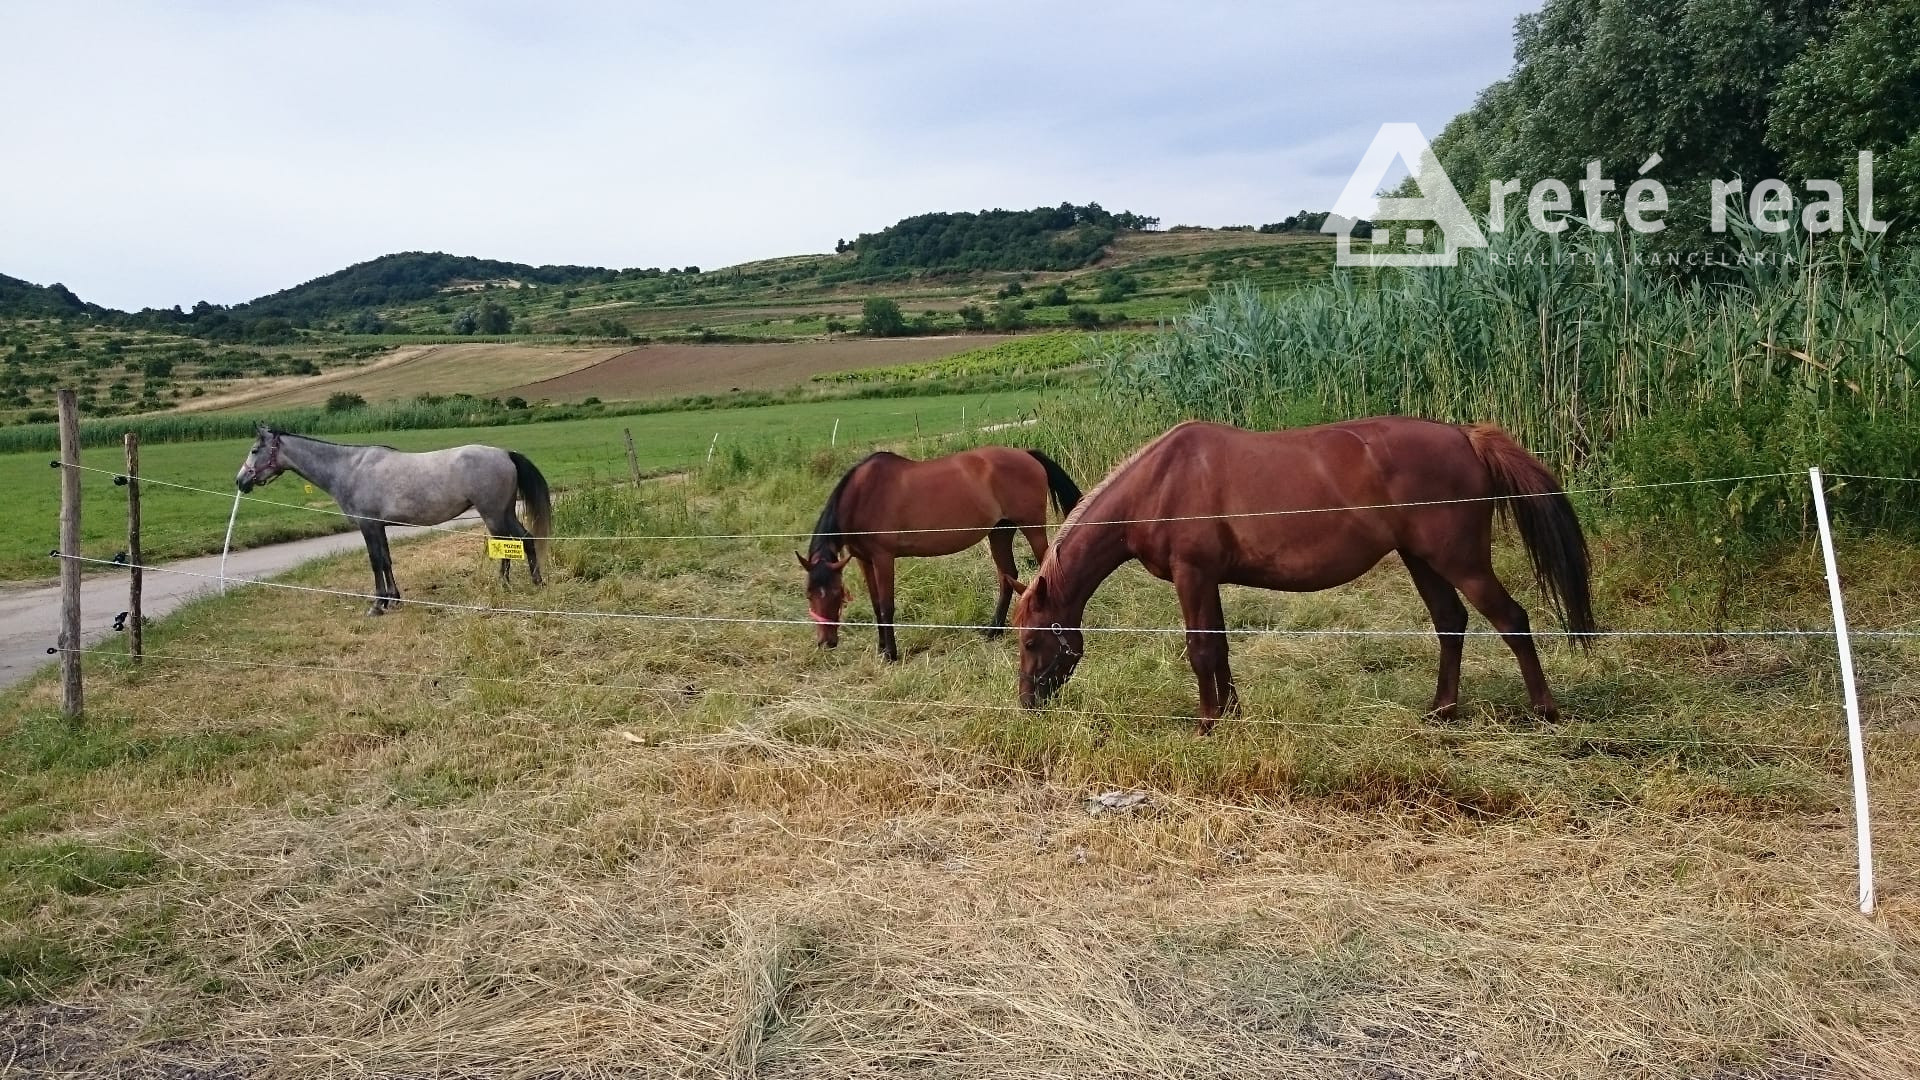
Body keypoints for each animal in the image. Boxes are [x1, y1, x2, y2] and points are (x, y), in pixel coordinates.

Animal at [234, 424, 552, 614]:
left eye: (254, 450)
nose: (240, 481)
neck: (349, 468)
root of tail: (505, 454)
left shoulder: (368, 526)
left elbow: (376, 561)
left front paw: (378, 604)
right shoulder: (379, 527)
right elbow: (386, 560)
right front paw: (394, 599)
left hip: (494, 514)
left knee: (512, 543)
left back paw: (516, 584)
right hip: (503, 512)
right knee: (521, 540)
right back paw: (525, 583)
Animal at [799, 447, 1081, 659]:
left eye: (836, 594)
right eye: (809, 594)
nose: (826, 642)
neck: (862, 494)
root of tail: (1027, 454)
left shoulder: (883, 558)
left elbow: (887, 606)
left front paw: (891, 653)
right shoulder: (863, 560)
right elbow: (876, 604)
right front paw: (881, 648)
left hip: (1032, 528)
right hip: (1000, 531)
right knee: (1007, 575)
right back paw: (993, 630)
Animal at [1009, 417, 1595, 731]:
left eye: (1033, 640)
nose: (1027, 703)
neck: (1161, 481)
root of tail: (1467, 436)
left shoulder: (1191, 575)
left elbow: (1200, 648)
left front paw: (1206, 723)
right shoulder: (1209, 580)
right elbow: (1220, 646)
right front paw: (1232, 714)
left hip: (1461, 562)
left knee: (1512, 620)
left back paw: (1544, 711)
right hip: (1423, 561)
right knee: (1450, 623)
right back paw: (1441, 710)